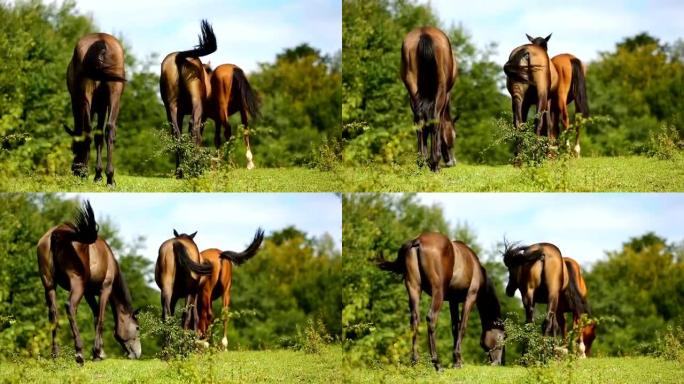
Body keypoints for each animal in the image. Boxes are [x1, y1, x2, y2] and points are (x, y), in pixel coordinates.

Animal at [36, 200, 141, 364]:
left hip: (49, 285)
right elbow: (101, 319)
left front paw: (99, 352)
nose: (138, 354)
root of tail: (57, 233)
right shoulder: (105, 289)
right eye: (137, 328)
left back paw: (55, 354)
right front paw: (97, 352)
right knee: (70, 307)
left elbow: (96, 316)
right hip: (77, 283)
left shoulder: (89, 293)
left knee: (53, 315)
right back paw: (79, 353)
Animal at [64, 32, 125, 185]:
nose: (74, 170)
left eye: (74, 149)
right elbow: (99, 136)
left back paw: (88, 174)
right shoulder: (102, 106)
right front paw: (98, 175)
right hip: (115, 92)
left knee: (88, 130)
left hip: (87, 96)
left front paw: (93, 174)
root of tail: (101, 41)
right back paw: (110, 178)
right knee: (109, 128)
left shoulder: (80, 104)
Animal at [159, 19, 215, 177]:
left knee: (176, 134)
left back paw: (180, 171)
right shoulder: (204, 115)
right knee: (193, 129)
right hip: (196, 103)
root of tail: (180, 57)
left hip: (171, 106)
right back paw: (194, 169)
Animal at [376, 232, 504, 370]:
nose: (498, 362)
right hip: (438, 291)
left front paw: (456, 361)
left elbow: (455, 327)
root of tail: (417, 241)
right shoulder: (470, 297)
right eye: (503, 337)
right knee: (431, 318)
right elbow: (462, 326)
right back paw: (437, 363)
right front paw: (458, 361)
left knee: (415, 320)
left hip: (414, 288)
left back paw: (415, 361)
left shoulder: (453, 301)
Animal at [400, 27, 460, 171]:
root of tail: (424, 32)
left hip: (412, 87)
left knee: (419, 121)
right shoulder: (446, 96)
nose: (452, 162)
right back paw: (434, 162)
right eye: (454, 136)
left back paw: (421, 161)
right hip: (441, 89)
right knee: (435, 119)